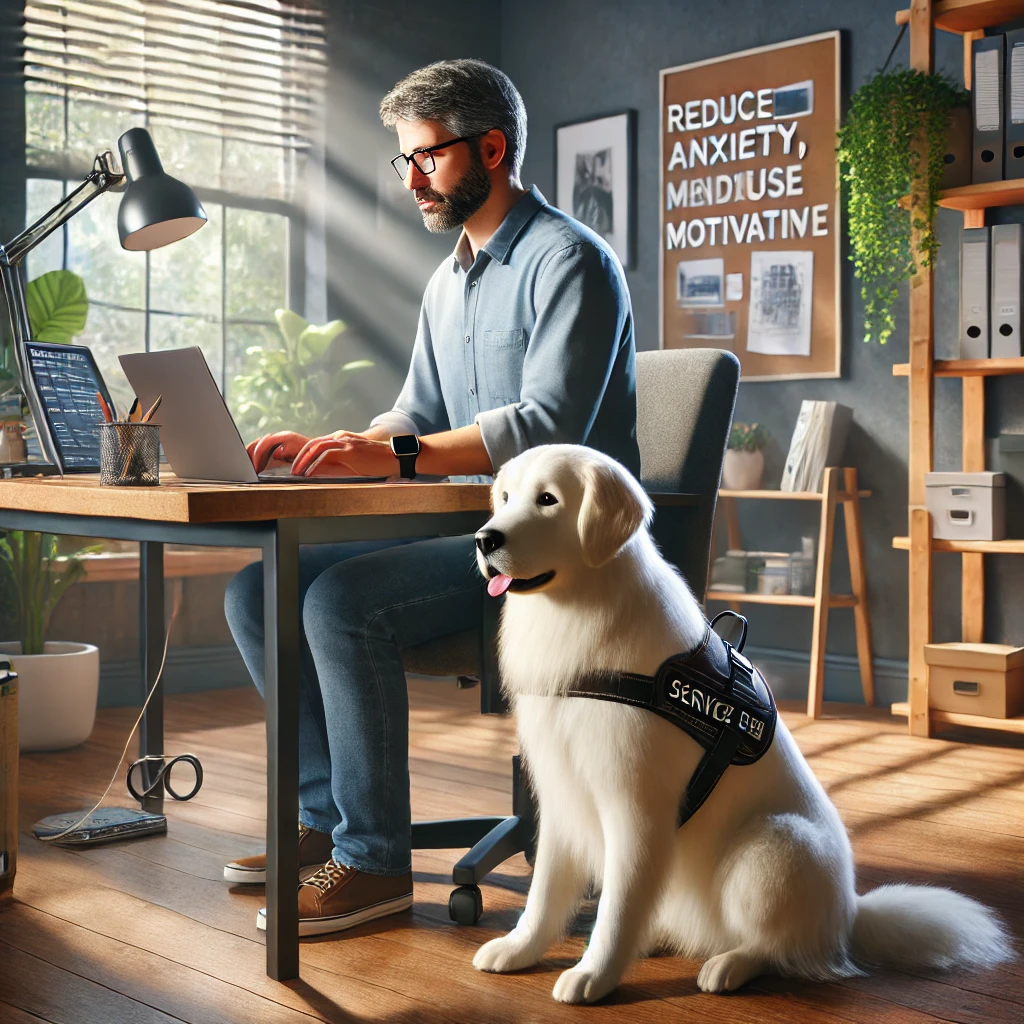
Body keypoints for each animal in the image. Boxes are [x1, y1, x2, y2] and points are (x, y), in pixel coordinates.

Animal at [468, 444, 1007, 1003]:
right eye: (505, 498)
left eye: (548, 499)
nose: (484, 539)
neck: (579, 619)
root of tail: (850, 916)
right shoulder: (561, 798)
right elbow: (544, 893)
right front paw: (519, 948)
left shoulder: (636, 809)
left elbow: (616, 908)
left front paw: (595, 974)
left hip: (772, 848)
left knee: (778, 949)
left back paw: (729, 965)